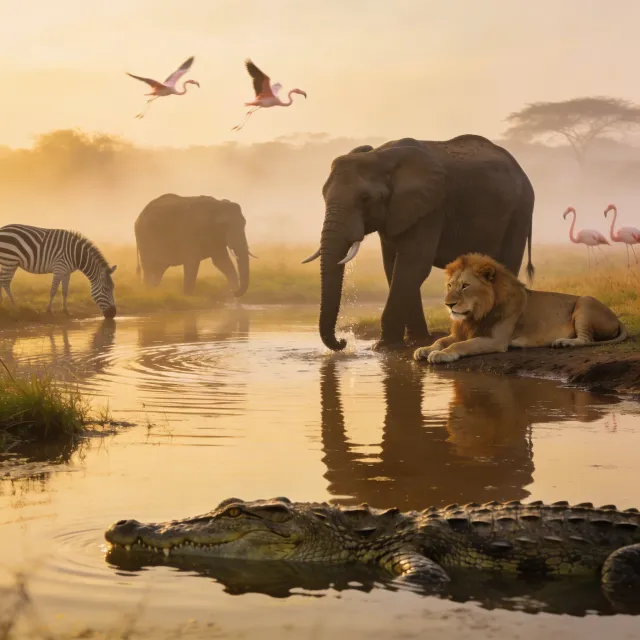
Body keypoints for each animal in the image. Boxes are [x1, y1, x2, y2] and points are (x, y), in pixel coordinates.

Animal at [303, 135, 535, 351]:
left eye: (365, 198)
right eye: (323, 195)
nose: (343, 342)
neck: (380, 156)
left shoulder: (431, 208)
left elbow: (413, 265)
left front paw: (384, 347)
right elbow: (394, 267)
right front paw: (417, 340)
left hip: (520, 211)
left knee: (506, 265)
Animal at [413, 253, 627, 364]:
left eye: (465, 286)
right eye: (450, 285)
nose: (448, 304)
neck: (475, 314)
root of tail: (617, 319)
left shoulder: (496, 340)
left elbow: (462, 345)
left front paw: (441, 354)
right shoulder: (462, 331)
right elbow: (441, 340)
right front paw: (425, 349)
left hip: (585, 301)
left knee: (586, 339)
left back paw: (564, 343)